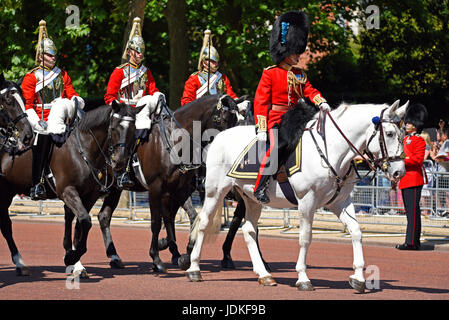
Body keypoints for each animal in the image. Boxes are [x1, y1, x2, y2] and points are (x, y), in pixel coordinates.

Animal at [0, 100, 142, 276]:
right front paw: (72, 258)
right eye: (114, 127)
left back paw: (20, 263)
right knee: (6, 226)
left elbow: (81, 224)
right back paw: (19, 262)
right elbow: (84, 221)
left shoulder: (89, 195)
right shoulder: (67, 191)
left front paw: (75, 261)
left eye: (134, 130)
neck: (84, 151)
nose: (120, 162)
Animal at [184, 100, 408, 292]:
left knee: (248, 231)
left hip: (251, 199)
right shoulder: (306, 201)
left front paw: (359, 277)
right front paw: (303, 278)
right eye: (389, 133)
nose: (399, 172)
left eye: (403, 133)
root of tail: (220, 136)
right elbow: (305, 237)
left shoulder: (340, 202)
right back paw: (194, 268)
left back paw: (264, 274)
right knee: (204, 223)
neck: (331, 150)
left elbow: (356, 231)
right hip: (215, 192)